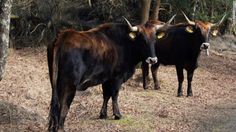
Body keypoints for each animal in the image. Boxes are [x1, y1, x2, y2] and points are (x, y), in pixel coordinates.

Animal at [47, 16, 177, 131]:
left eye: (154, 40)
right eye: (142, 40)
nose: (153, 60)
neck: (125, 43)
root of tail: (64, 35)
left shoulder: (106, 78)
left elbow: (106, 95)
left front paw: (103, 114)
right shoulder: (117, 78)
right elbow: (114, 95)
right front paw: (117, 114)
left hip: (55, 83)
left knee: (55, 104)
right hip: (69, 85)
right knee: (64, 104)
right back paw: (60, 128)